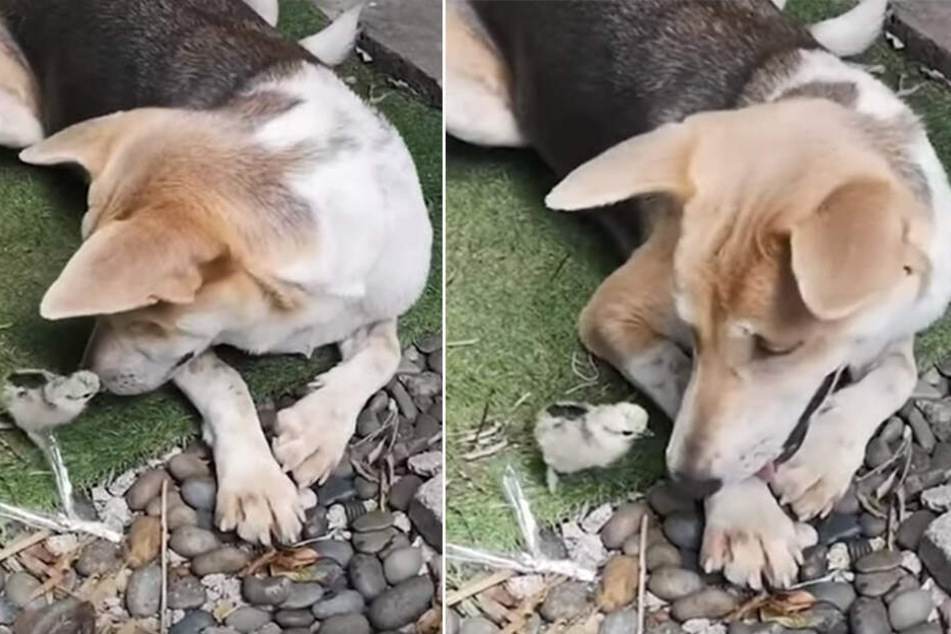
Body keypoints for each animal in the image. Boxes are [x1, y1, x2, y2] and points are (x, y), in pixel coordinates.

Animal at [0, 0, 436, 544]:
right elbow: (227, 382)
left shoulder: (379, 296)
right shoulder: (190, 351)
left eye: (144, 316)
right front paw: (256, 482)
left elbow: (384, 355)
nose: (94, 379)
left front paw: (317, 427)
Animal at [446, 0, 951, 584]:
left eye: (776, 347)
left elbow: (899, 374)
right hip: (480, 113)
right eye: (691, 329)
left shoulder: (903, 320)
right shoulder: (610, 311)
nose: (686, 482)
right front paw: (747, 517)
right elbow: (678, 374)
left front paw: (823, 456)